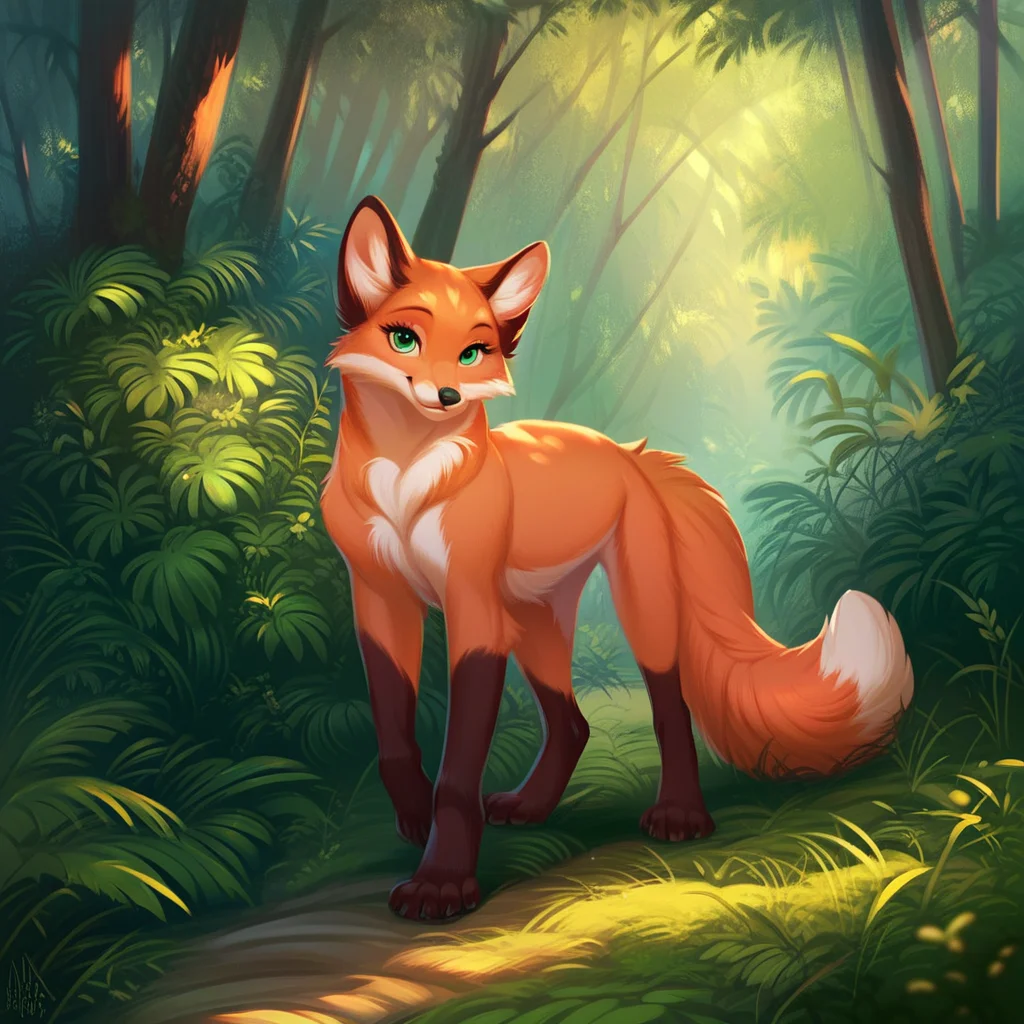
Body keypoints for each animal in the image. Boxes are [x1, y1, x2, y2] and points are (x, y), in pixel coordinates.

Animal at [320, 195, 915, 922]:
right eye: (404, 339)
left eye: (472, 352)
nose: (448, 397)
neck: (405, 485)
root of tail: (629, 452)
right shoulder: (380, 600)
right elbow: (395, 742)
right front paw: (412, 819)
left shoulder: (472, 609)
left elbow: (458, 776)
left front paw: (443, 882)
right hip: (534, 624)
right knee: (572, 724)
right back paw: (532, 805)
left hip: (640, 609)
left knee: (670, 709)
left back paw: (681, 816)